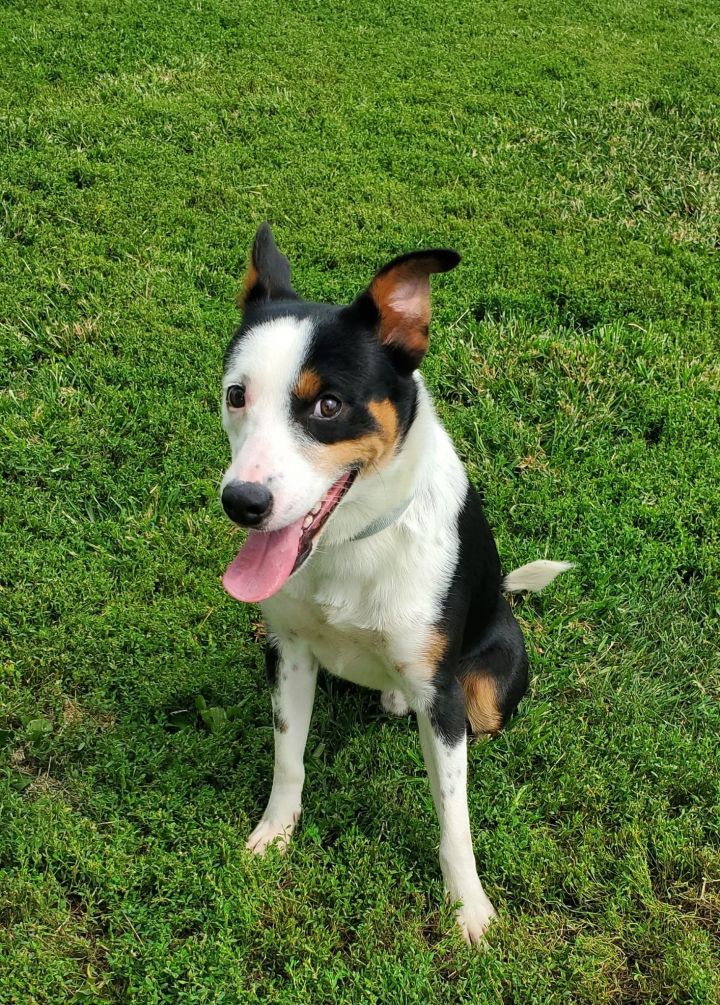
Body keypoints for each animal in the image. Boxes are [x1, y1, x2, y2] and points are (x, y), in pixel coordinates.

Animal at [216, 224, 571, 944]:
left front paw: (469, 909)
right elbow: (288, 756)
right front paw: (275, 835)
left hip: (486, 685)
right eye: (237, 394)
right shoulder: (288, 654)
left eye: (328, 405)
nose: (241, 502)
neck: (352, 545)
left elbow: (454, 816)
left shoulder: (441, 695)